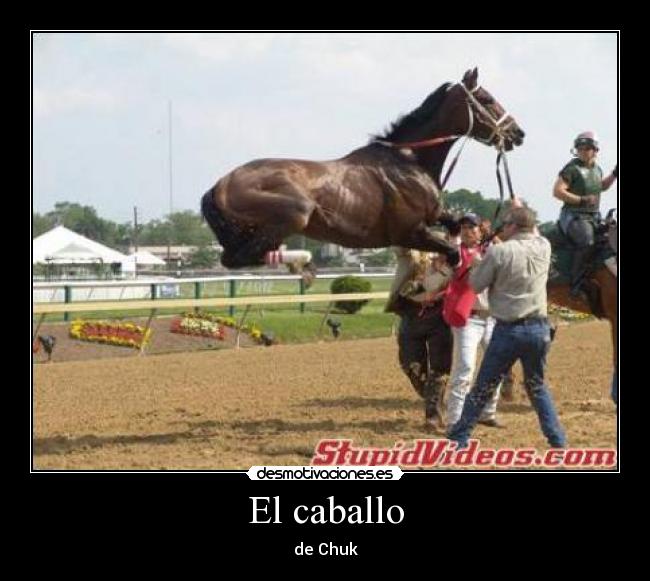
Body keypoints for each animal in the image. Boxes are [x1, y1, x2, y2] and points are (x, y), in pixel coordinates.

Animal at [201, 68, 525, 270]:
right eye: (487, 99)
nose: (517, 133)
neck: (409, 161)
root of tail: (220, 185)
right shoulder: (409, 232)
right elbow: (452, 251)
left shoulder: (433, 216)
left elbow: (457, 221)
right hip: (296, 211)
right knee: (237, 258)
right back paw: (299, 262)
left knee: (237, 255)